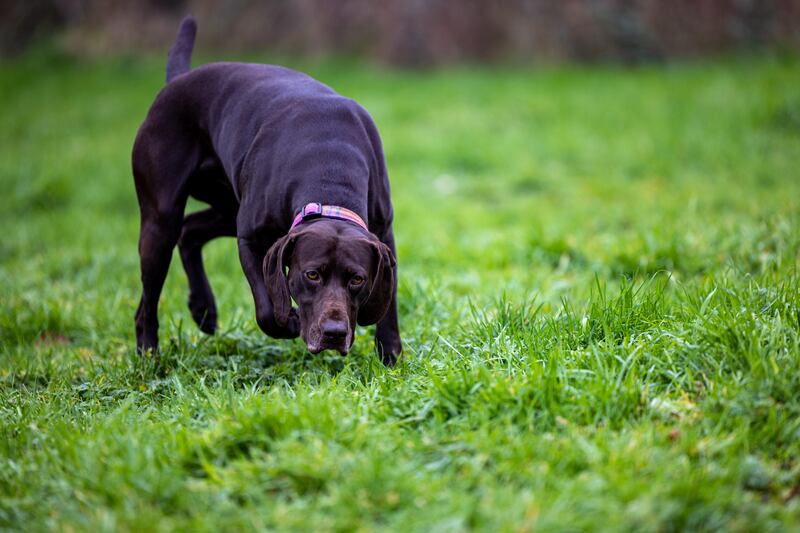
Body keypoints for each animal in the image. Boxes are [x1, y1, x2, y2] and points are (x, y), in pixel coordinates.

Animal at [135, 17, 406, 366]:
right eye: (312, 275)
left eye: (357, 279)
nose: (333, 333)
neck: (329, 175)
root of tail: (178, 81)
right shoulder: (251, 241)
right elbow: (267, 308)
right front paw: (288, 321)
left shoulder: (384, 236)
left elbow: (389, 305)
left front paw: (391, 355)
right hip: (161, 221)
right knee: (149, 297)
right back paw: (148, 354)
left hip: (227, 210)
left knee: (190, 231)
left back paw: (203, 308)